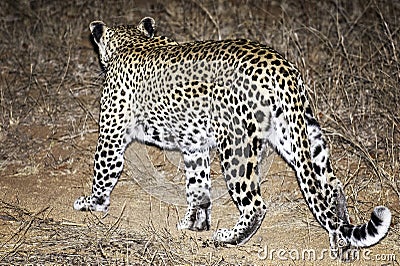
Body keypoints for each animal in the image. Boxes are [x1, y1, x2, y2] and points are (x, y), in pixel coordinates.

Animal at [74, 16, 390, 258]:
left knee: (256, 203)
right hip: (296, 133)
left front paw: (91, 204)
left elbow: (103, 172)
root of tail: (280, 67)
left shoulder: (112, 135)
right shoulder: (194, 145)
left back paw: (230, 238)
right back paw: (342, 242)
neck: (131, 41)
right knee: (330, 185)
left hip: (236, 146)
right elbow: (197, 185)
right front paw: (195, 222)